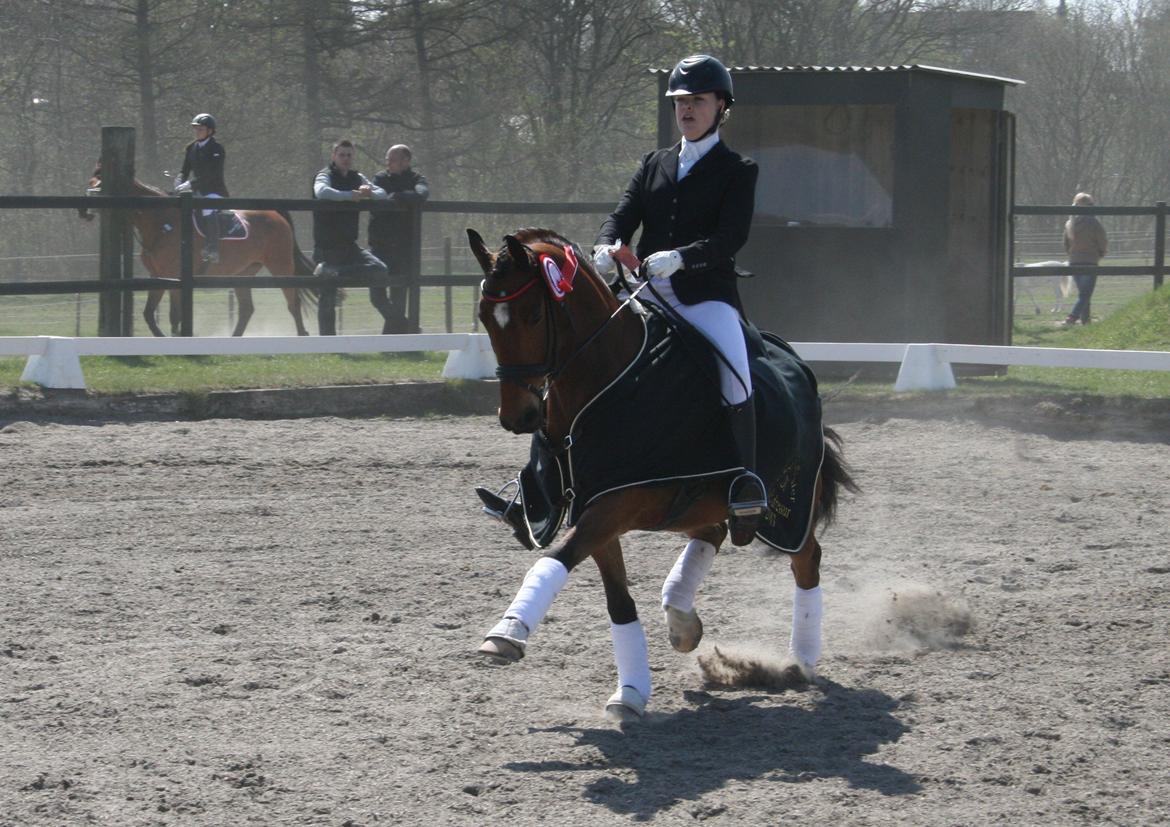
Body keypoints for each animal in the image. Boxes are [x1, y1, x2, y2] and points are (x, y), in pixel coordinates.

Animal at [79, 164, 318, 336]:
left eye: (100, 186)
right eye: (90, 182)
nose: (83, 212)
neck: (163, 221)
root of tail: (275, 214)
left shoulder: (175, 277)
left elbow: (175, 316)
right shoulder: (158, 276)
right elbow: (149, 314)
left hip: (281, 267)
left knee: (293, 302)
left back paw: (302, 334)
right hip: (243, 272)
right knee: (247, 309)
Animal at [467, 228, 861, 725]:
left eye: (534, 314)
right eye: (485, 316)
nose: (516, 417)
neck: (608, 382)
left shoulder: (616, 504)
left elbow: (555, 558)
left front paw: (507, 633)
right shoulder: (597, 508)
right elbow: (618, 601)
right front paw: (631, 691)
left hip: (785, 507)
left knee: (806, 559)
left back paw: (800, 661)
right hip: (695, 505)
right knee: (713, 533)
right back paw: (682, 620)